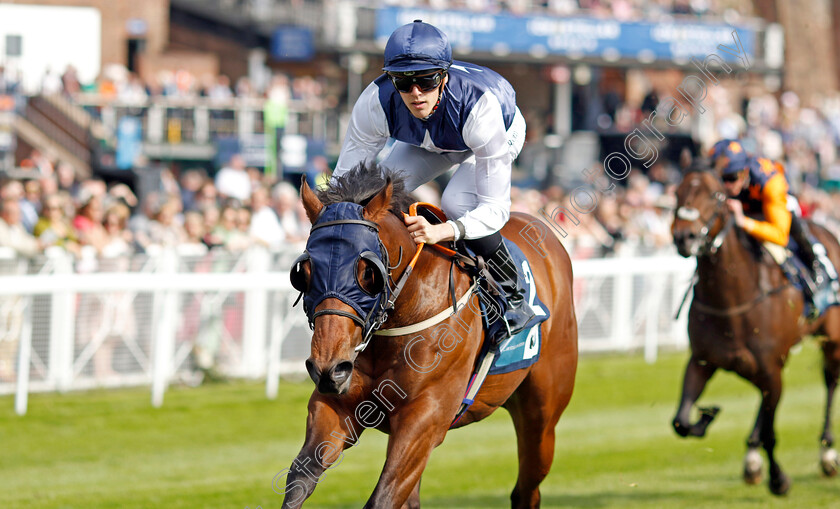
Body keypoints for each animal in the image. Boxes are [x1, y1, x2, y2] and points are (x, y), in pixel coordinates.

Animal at [280, 165, 576, 506]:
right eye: (303, 273)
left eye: (368, 272)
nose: (329, 369)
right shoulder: (334, 407)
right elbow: (299, 479)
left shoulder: (424, 419)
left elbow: (382, 498)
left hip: (542, 417)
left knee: (526, 488)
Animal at [668, 167, 840, 492]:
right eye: (677, 192)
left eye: (715, 194)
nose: (684, 236)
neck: (732, 300)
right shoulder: (702, 361)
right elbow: (681, 421)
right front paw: (706, 416)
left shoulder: (770, 368)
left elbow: (772, 432)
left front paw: (779, 479)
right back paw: (751, 457)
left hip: (831, 340)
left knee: (830, 381)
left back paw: (826, 453)